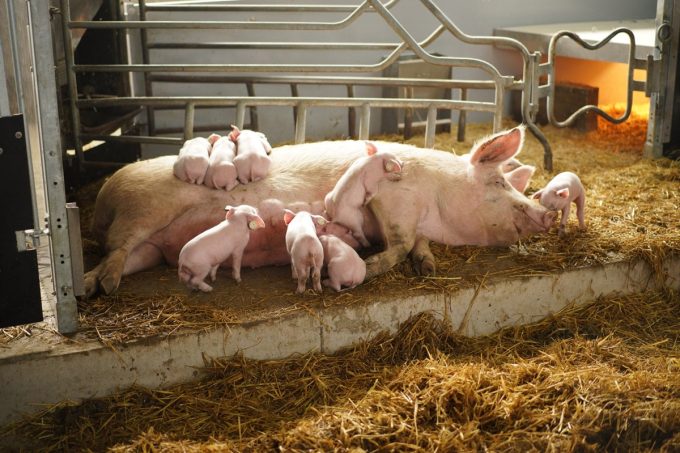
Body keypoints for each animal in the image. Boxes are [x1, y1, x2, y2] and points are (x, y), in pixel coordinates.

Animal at [84, 126, 556, 298]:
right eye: (497, 184)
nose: (545, 214)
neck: (435, 203)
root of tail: (104, 194)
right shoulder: (393, 201)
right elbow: (400, 241)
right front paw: (374, 264)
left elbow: (417, 244)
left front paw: (428, 267)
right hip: (139, 212)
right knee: (113, 251)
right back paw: (98, 288)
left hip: (151, 249)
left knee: (122, 257)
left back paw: (100, 286)